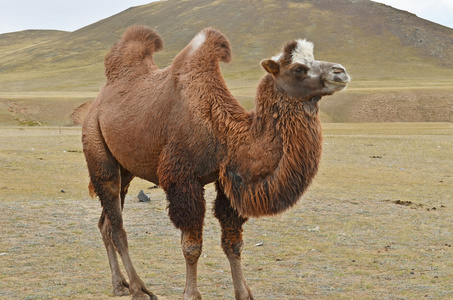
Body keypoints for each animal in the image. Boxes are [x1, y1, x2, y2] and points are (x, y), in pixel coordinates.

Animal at [81, 26, 350, 300]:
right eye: (298, 69)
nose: (340, 71)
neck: (223, 134)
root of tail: (97, 103)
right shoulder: (182, 177)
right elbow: (191, 246)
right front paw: (191, 294)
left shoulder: (228, 182)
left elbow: (233, 243)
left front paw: (244, 293)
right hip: (98, 149)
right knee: (117, 227)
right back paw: (138, 289)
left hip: (125, 170)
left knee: (105, 223)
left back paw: (119, 285)